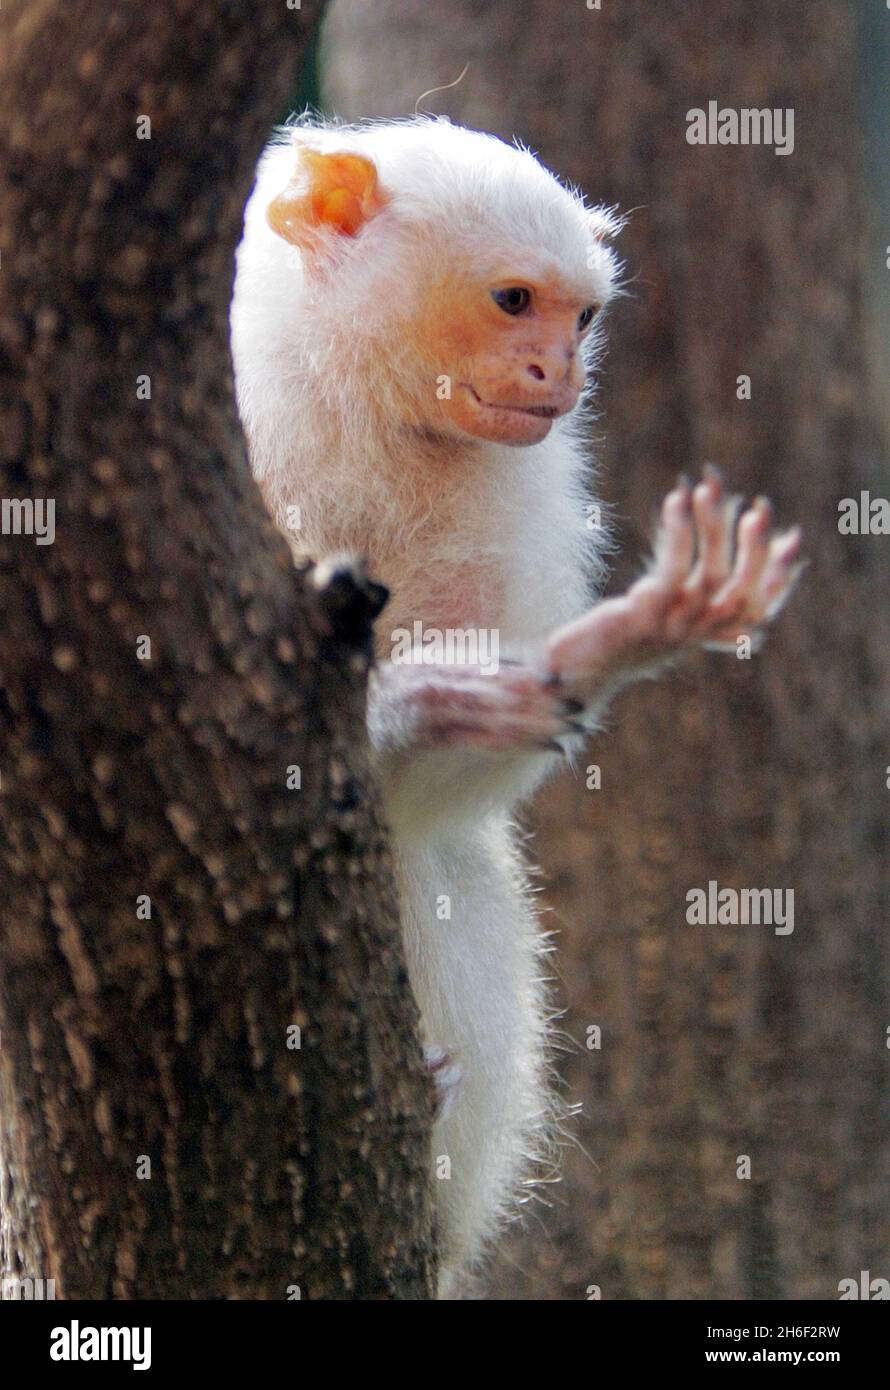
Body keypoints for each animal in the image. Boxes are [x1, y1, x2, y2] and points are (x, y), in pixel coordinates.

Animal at [228, 113, 801, 1295]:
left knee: (438, 867)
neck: (363, 411)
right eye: (511, 302)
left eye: (581, 316)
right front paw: (410, 699)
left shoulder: (510, 503)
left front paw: (616, 641)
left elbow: (440, 797)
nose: (560, 371)